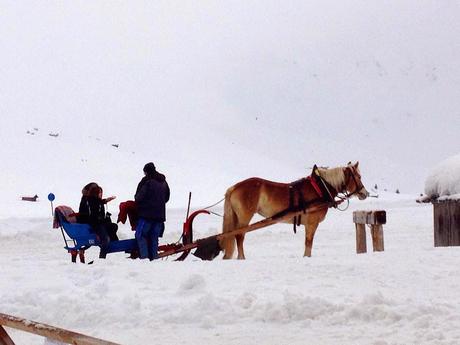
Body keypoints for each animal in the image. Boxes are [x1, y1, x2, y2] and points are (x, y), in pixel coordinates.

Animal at [221, 161, 368, 258]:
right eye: (359, 177)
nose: (365, 193)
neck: (320, 188)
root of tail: (234, 187)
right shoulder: (312, 223)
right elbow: (308, 242)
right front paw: (306, 257)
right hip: (245, 217)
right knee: (239, 236)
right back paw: (242, 258)